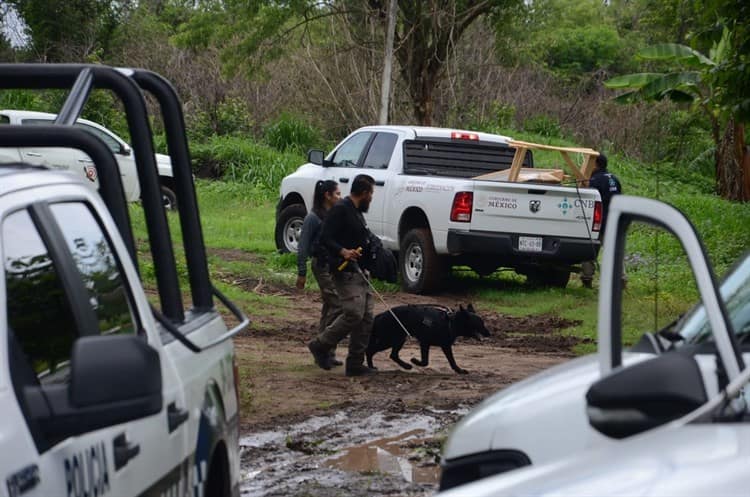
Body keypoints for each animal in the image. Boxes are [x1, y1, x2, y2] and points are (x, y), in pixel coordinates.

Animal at [366, 302, 494, 372]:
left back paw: (405, 366)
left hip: (398, 339)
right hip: (389, 340)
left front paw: (459, 371)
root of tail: (379, 316)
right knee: (371, 350)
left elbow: (452, 361)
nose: (489, 334)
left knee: (393, 355)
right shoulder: (425, 343)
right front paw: (415, 361)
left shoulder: (445, 346)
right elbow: (425, 362)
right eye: (480, 324)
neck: (450, 322)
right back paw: (371, 366)